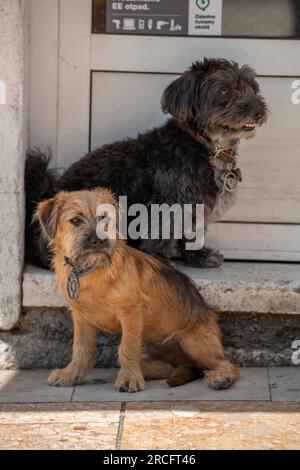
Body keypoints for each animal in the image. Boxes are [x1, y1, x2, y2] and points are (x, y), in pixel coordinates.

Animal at [25, 58, 268, 270]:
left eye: (252, 87)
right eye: (224, 90)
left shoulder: (196, 203)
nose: (258, 110)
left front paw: (199, 257)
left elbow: (192, 231)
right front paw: (159, 260)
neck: (205, 143)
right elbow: (159, 231)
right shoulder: (169, 201)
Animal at [35, 189, 239, 392]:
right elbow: (81, 348)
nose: (99, 240)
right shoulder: (81, 316)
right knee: (167, 366)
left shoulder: (131, 312)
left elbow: (126, 347)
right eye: (76, 220)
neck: (91, 269)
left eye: (104, 217)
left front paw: (129, 379)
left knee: (226, 364)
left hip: (193, 341)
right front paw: (70, 374)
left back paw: (221, 377)